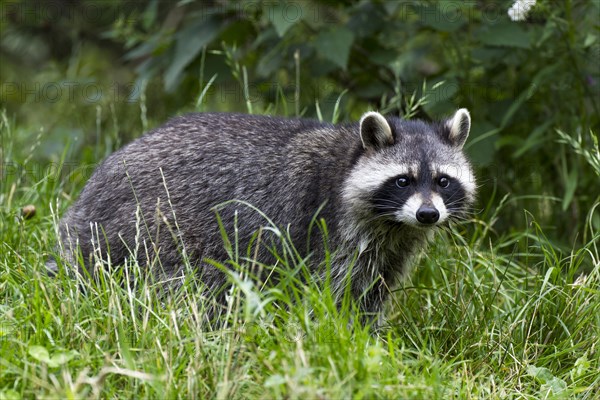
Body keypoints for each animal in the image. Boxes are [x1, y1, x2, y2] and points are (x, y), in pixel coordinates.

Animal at [50, 108, 474, 316]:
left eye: (442, 181)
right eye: (403, 180)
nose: (427, 215)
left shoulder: (391, 248)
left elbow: (372, 290)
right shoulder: (327, 226)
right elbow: (328, 288)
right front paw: (335, 330)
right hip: (147, 225)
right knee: (185, 281)